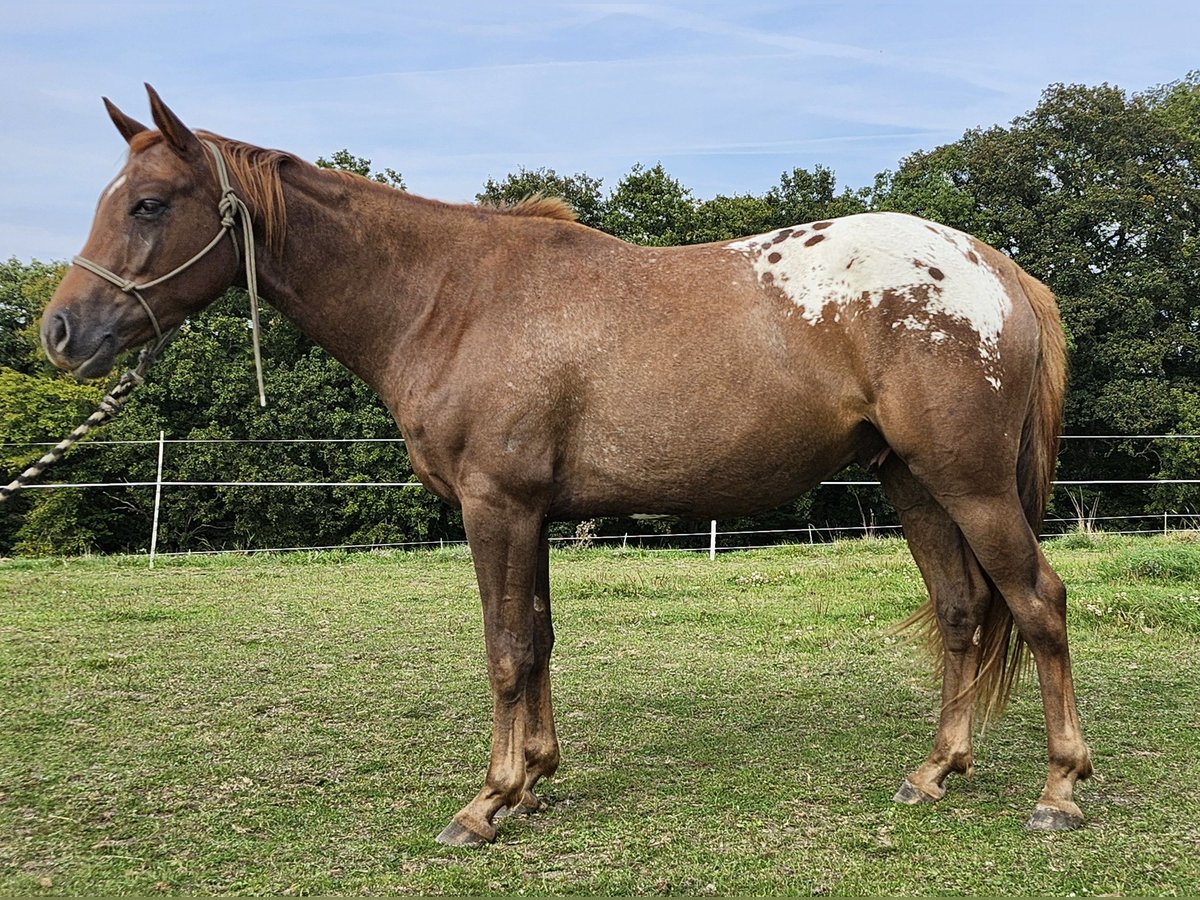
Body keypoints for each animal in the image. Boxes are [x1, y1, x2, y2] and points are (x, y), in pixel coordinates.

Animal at [39, 84, 1089, 844]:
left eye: (149, 204)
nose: (59, 332)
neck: (449, 297)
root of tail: (996, 268)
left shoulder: (495, 506)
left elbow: (505, 649)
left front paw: (486, 802)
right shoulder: (532, 514)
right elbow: (538, 640)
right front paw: (534, 782)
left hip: (970, 484)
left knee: (1038, 603)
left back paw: (1060, 789)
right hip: (913, 484)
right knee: (962, 614)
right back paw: (935, 771)